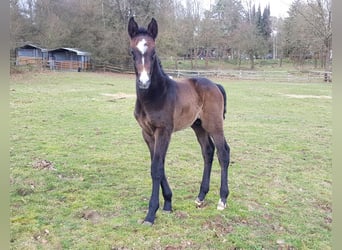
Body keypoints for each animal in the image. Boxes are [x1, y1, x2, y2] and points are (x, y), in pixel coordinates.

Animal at [129, 17, 232, 225]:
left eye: (153, 52)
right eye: (132, 52)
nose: (143, 82)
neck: (155, 95)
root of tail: (215, 85)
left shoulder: (164, 131)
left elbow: (156, 168)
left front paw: (151, 213)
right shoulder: (147, 133)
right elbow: (157, 164)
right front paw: (168, 203)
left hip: (214, 124)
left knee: (223, 152)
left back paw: (222, 199)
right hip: (198, 126)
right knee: (208, 152)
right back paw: (200, 197)